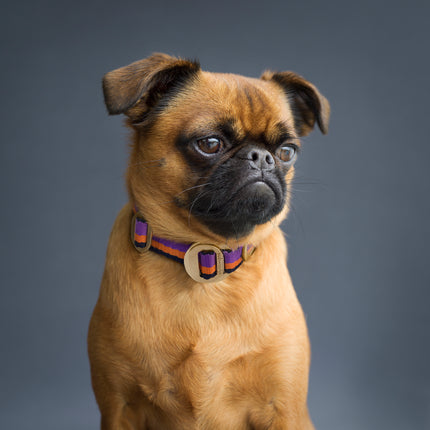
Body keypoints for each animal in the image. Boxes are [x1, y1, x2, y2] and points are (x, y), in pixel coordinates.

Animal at [86, 53, 330, 430]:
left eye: (287, 151)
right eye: (210, 144)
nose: (261, 157)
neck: (205, 253)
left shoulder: (285, 409)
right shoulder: (118, 408)